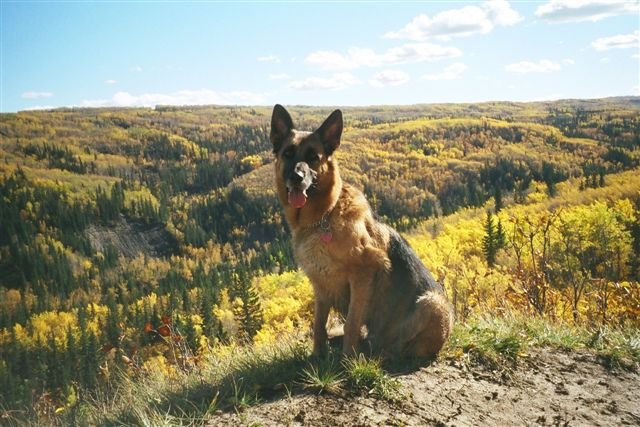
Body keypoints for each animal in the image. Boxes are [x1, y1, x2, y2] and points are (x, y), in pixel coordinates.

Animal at [270, 104, 453, 358]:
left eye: (313, 157)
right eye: (288, 153)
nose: (297, 178)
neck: (324, 216)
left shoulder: (363, 275)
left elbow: (351, 323)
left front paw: (348, 359)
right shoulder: (320, 285)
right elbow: (318, 325)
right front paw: (317, 356)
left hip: (432, 303)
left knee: (401, 347)